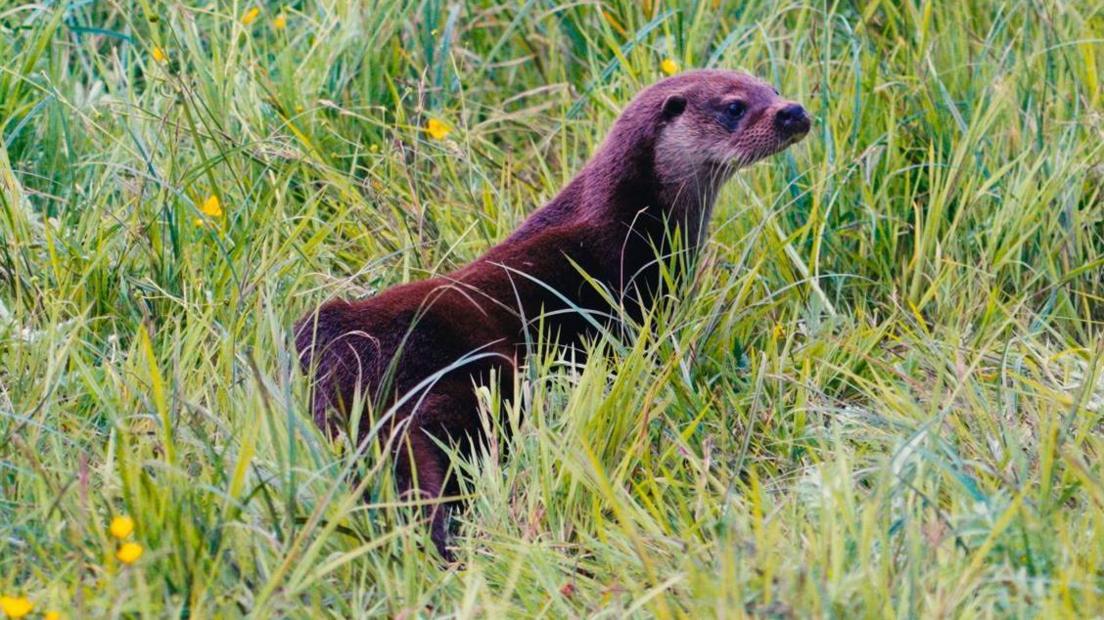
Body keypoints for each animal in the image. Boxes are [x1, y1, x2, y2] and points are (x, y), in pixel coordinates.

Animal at [295, 70, 812, 558]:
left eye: (771, 88)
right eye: (734, 106)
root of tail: (352, 363)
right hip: (479, 369)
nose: (794, 110)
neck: (632, 223)